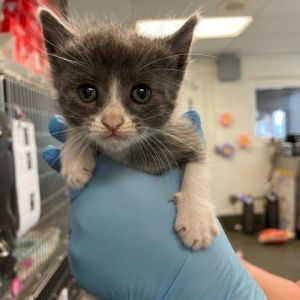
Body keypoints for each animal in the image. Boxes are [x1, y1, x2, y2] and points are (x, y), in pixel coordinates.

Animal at [39, 8, 218, 250]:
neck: (121, 152)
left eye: (141, 93)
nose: (112, 121)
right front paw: (75, 157)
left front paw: (197, 221)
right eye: (87, 92)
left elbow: (198, 157)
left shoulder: (180, 132)